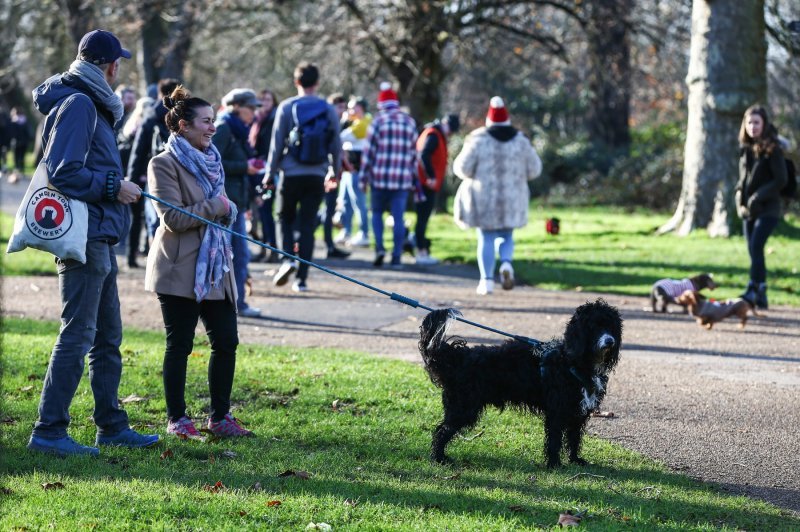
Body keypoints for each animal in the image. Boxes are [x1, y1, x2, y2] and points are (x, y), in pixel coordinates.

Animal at [422, 302, 620, 468]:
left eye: (611, 326)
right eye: (593, 327)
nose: (610, 341)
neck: (573, 361)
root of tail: (457, 356)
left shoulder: (577, 411)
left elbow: (574, 438)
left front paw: (575, 460)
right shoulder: (557, 411)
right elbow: (555, 439)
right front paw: (554, 464)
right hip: (463, 408)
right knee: (441, 431)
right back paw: (439, 458)